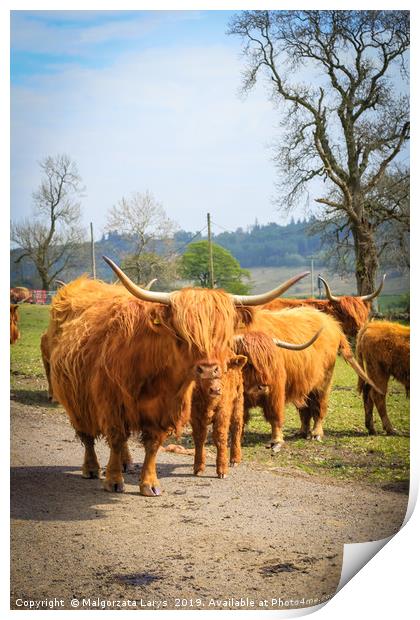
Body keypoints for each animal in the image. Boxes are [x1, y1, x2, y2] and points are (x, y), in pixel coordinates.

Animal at [49, 260, 306, 496]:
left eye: (223, 334)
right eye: (182, 334)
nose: (209, 371)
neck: (152, 371)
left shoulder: (164, 410)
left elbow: (152, 445)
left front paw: (149, 484)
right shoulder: (111, 404)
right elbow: (116, 438)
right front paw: (113, 480)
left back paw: (126, 463)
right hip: (76, 400)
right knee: (87, 436)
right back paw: (92, 468)